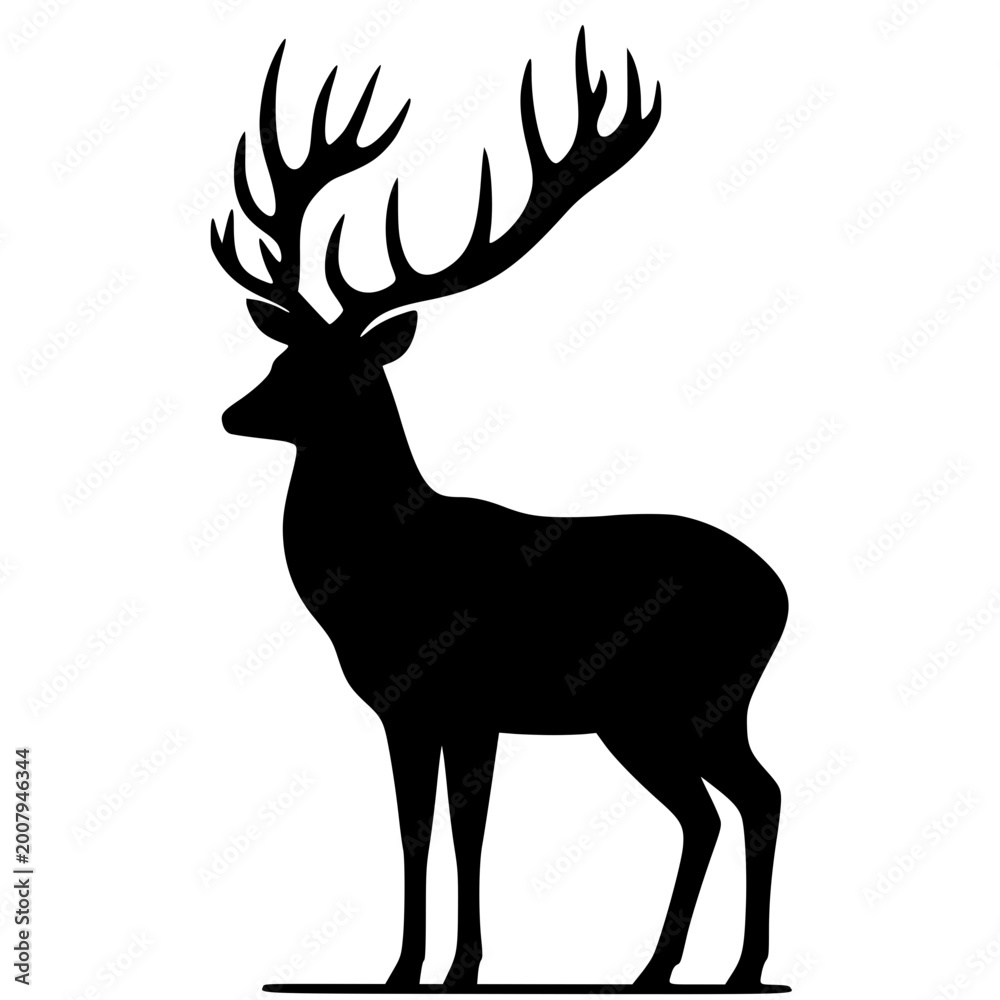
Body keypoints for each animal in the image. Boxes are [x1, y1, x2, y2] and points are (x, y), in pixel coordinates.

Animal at [211, 28, 790, 994]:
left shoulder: (455, 696)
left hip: (680, 702)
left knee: (746, 798)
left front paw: (443, 967)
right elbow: (430, 832)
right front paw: (420, 966)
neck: (375, 582)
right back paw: (675, 967)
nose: (233, 413)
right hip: (670, 714)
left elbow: (451, 832)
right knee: (721, 806)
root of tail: (782, 595)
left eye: (335, 372)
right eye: (282, 357)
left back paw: (727, 967)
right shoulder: (422, 709)